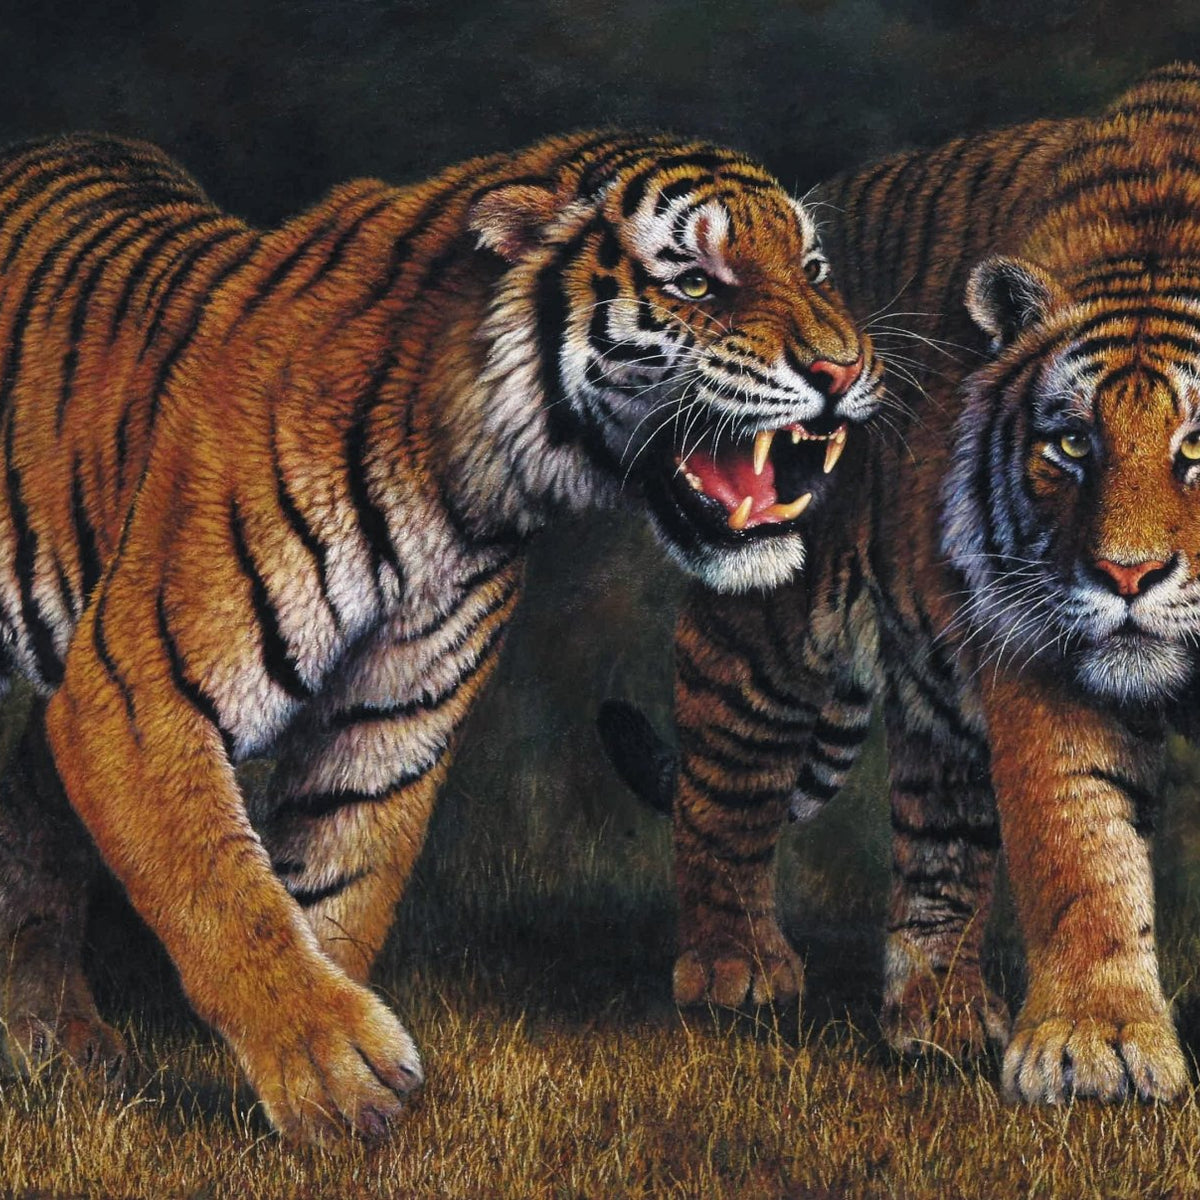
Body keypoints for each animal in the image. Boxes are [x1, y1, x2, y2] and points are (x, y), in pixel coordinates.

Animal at [0, 129, 881, 1141]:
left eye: (813, 269)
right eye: (698, 282)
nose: (845, 370)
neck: (468, 472)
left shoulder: (393, 715)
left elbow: (337, 884)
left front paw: (334, 1092)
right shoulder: (138, 691)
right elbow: (224, 888)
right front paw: (337, 1069)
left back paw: (53, 1035)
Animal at [600, 63, 1200, 1104]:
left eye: (1198, 448)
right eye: (1072, 444)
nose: (1126, 574)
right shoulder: (1042, 647)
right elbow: (1081, 843)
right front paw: (1096, 1049)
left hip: (942, 706)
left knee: (938, 849)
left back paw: (938, 1017)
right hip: (769, 629)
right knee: (725, 783)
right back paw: (734, 967)